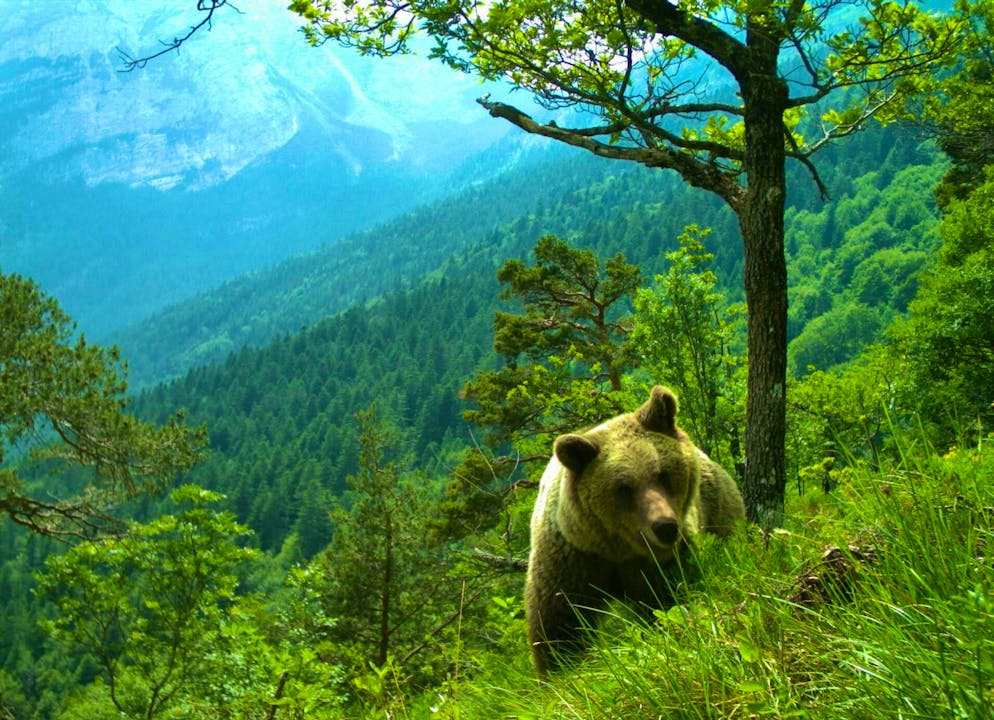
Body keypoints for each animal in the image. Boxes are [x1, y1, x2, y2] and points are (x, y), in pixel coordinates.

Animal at [525, 385, 746, 675]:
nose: (665, 527)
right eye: (623, 488)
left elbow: (668, 600)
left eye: (662, 473)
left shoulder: (662, 561)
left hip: (719, 509)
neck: (618, 548)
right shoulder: (573, 556)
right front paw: (561, 667)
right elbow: (560, 619)